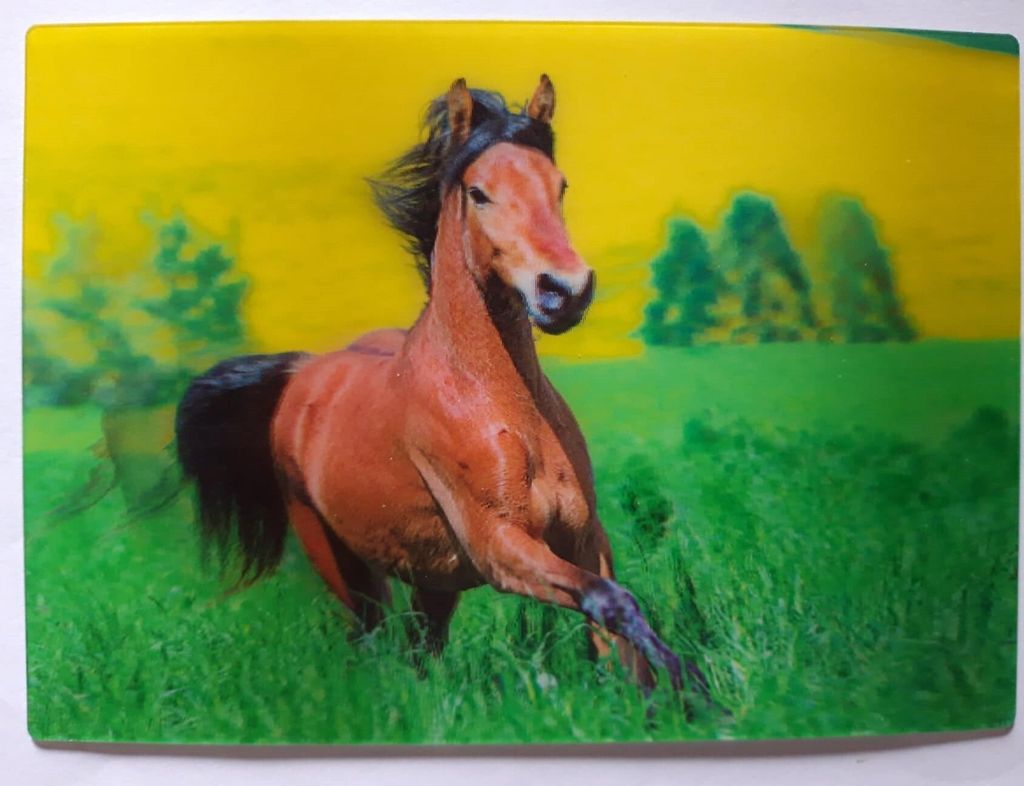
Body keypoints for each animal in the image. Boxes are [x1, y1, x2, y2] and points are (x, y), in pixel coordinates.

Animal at [176, 75, 708, 701]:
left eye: (560, 185)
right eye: (478, 193)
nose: (564, 292)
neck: (504, 407)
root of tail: (301, 373)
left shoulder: (583, 535)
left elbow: (619, 632)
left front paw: (675, 699)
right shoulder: (499, 546)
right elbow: (614, 603)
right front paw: (696, 687)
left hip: (434, 582)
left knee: (419, 654)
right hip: (344, 566)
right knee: (373, 644)